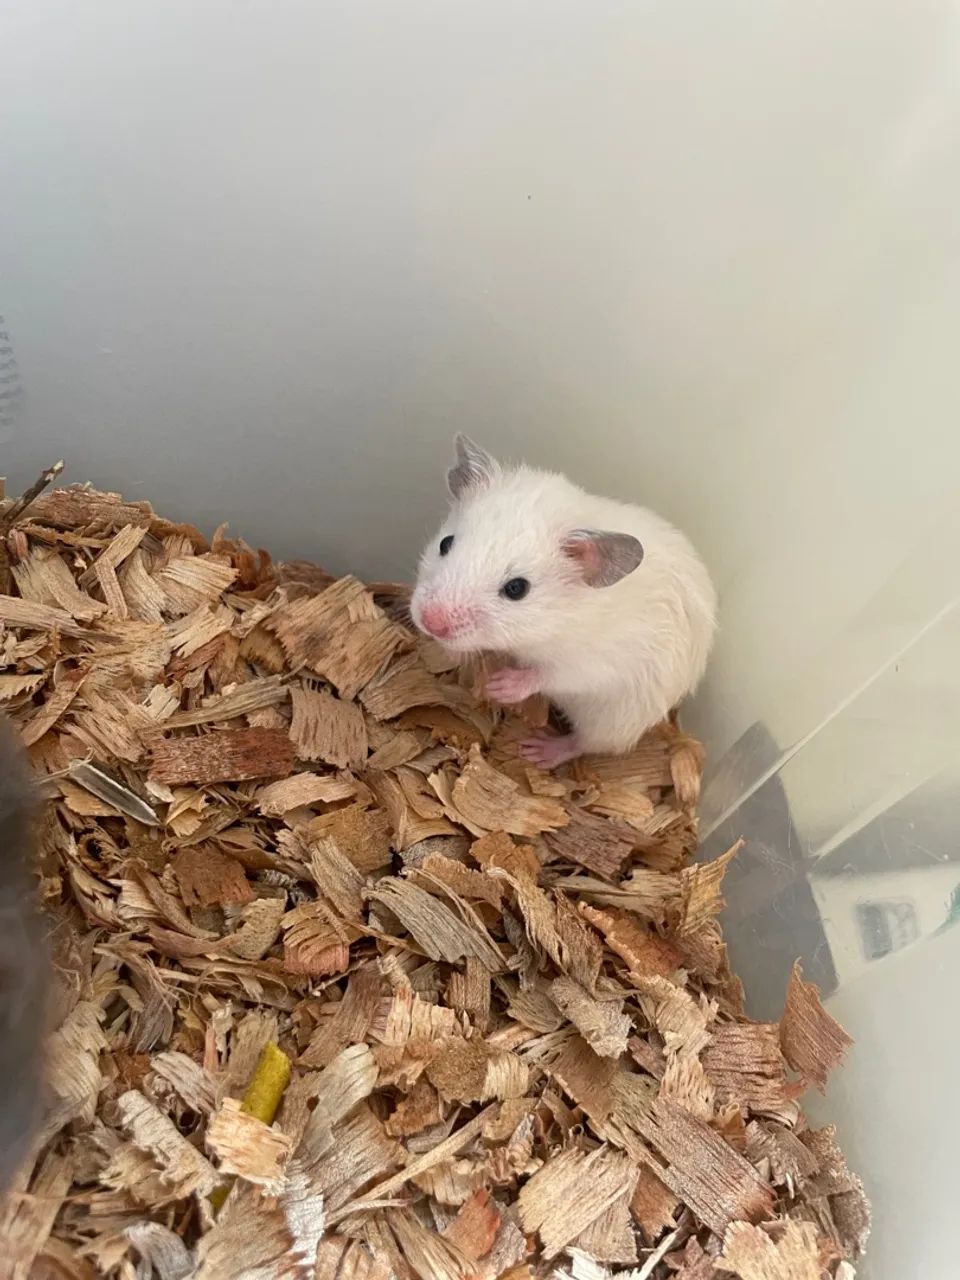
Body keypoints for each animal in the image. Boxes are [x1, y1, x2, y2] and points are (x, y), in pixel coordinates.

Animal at [411, 435, 717, 768]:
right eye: (445, 543)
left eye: (517, 588)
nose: (430, 622)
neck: (556, 624)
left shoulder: (592, 664)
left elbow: (547, 674)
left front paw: (499, 686)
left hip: (613, 721)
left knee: (587, 743)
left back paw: (539, 751)